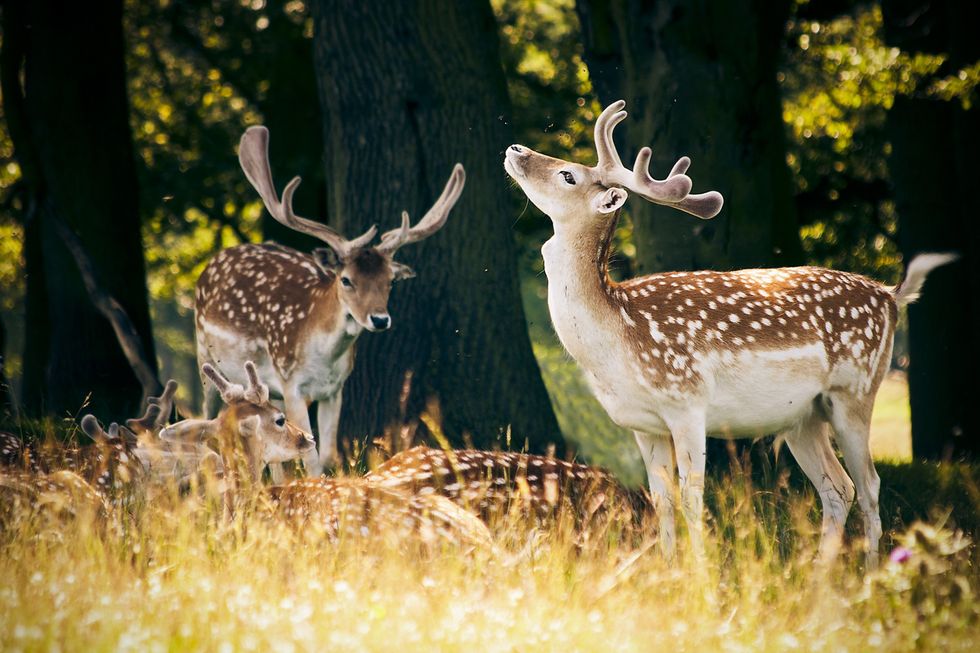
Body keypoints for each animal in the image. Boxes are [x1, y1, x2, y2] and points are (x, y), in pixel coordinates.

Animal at [195, 126, 466, 480]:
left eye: (390, 281)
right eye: (346, 279)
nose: (380, 319)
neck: (321, 355)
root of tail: (213, 262)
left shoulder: (335, 390)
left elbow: (326, 454)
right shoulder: (292, 382)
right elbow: (308, 456)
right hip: (205, 358)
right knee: (206, 419)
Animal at [504, 99, 956, 565]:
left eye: (568, 175)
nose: (516, 148)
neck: (618, 340)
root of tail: (890, 295)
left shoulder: (687, 402)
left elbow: (691, 498)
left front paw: (701, 573)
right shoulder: (643, 425)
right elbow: (661, 500)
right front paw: (669, 568)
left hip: (856, 391)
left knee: (869, 484)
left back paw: (869, 571)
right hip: (803, 417)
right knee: (838, 487)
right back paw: (820, 573)